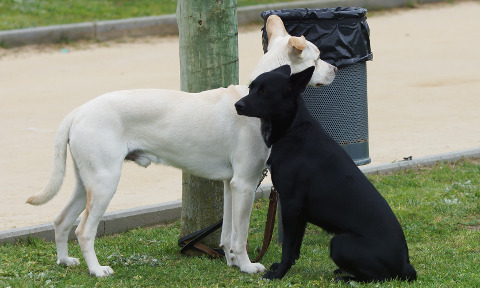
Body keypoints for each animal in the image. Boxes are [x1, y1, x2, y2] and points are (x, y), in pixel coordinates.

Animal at [25, 15, 334, 276]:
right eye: (317, 59)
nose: (335, 68)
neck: (259, 99)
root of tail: (78, 111)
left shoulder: (231, 185)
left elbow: (228, 234)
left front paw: (233, 262)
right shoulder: (245, 184)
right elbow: (242, 234)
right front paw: (247, 266)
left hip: (85, 183)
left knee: (61, 221)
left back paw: (65, 261)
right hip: (104, 183)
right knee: (83, 231)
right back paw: (97, 270)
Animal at [235, 64, 416, 282]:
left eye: (265, 91)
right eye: (251, 87)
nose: (237, 105)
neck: (292, 129)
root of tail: (406, 265)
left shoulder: (291, 205)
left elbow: (287, 247)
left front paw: (278, 274)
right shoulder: (300, 213)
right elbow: (294, 248)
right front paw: (285, 268)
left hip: (339, 243)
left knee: (378, 277)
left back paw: (345, 277)